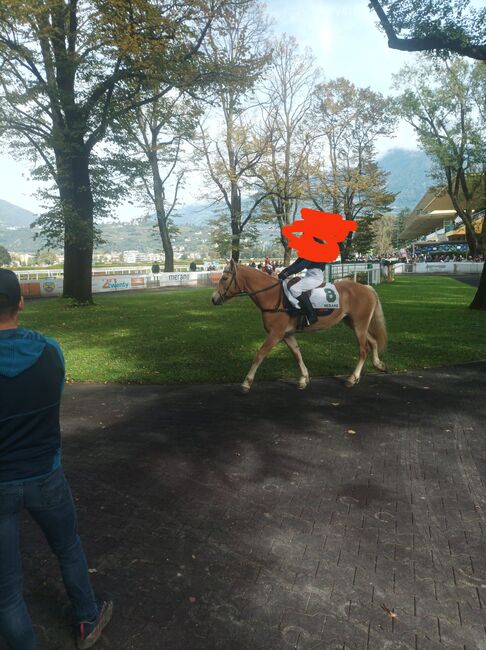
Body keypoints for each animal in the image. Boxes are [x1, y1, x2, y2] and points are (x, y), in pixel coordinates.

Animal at [212, 256, 388, 390]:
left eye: (225, 278)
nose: (213, 299)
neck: (272, 296)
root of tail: (366, 287)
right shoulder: (287, 334)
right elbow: (297, 355)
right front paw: (304, 378)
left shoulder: (275, 334)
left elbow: (259, 355)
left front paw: (246, 383)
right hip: (353, 323)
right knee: (373, 342)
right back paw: (379, 365)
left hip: (359, 325)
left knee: (363, 350)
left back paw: (352, 378)